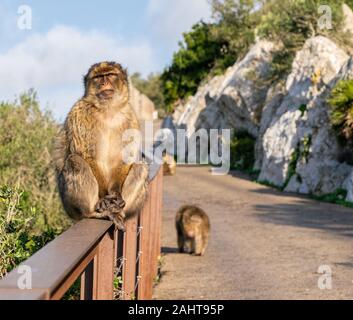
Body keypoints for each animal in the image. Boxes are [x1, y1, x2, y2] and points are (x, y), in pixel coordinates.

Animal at [53, 61, 148, 230]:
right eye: (98, 77)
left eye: (110, 75)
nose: (104, 83)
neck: (108, 110)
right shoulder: (79, 114)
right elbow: (87, 155)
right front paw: (105, 196)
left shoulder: (130, 116)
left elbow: (125, 158)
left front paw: (116, 194)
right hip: (70, 205)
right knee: (75, 161)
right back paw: (95, 212)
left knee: (140, 167)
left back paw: (119, 210)